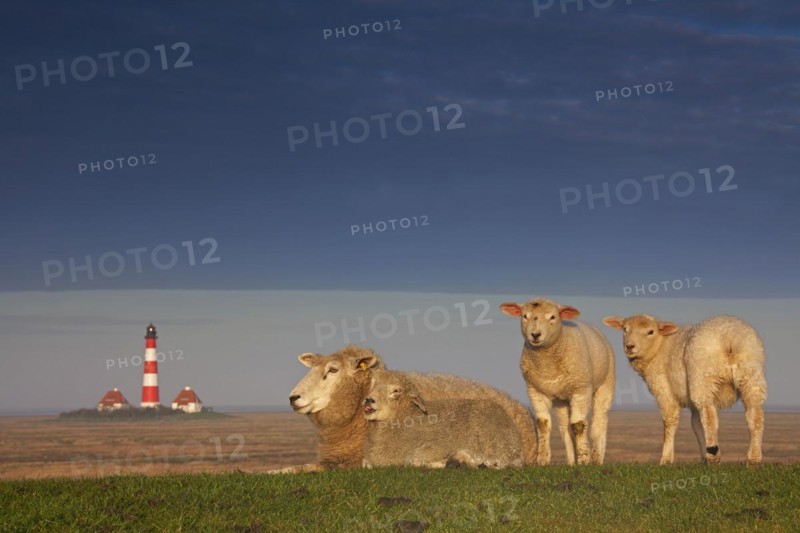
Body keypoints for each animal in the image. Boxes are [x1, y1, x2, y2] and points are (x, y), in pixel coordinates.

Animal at [363, 369, 523, 468]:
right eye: (373, 383)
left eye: (396, 391)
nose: (369, 400)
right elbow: (365, 463)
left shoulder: (441, 444)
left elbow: (415, 458)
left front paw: (441, 463)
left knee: (497, 462)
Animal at [500, 298, 615, 465]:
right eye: (524, 316)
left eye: (553, 317)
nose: (535, 334)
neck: (547, 367)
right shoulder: (535, 390)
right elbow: (543, 423)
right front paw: (542, 459)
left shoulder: (581, 390)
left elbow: (579, 425)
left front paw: (584, 460)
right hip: (561, 400)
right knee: (565, 427)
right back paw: (571, 462)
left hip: (605, 384)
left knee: (600, 419)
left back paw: (597, 458)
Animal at [603, 314, 767, 466]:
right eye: (625, 329)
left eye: (650, 332)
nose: (629, 346)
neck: (660, 346)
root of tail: (729, 336)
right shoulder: (691, 403)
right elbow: (696, 425)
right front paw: (703, 456)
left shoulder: (664, 390)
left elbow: (670, 421)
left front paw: (666, 459)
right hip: (751, 374)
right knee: (755, 414)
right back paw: (753, 459)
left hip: (702, 377)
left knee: (709, 416)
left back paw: (714, 456)